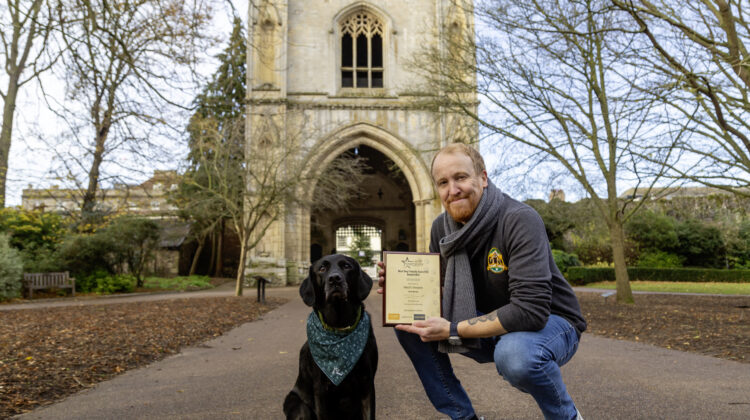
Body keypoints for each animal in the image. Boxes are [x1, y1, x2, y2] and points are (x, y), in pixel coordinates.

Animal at [284, 254, 378, 418]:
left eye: (346, 266)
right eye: (322, 268)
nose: (334, 279)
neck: (339, 327)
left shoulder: (367, 383)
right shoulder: (321, 389)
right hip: (298, 404)